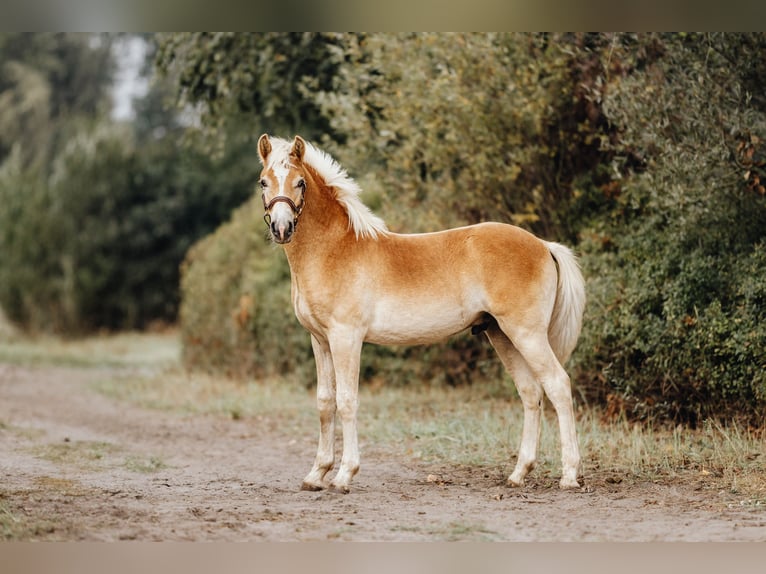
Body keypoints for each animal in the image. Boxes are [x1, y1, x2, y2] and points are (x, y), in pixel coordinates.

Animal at [258, 135, 588, 496]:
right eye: (264, 182)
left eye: (300, 182)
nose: (282, 228)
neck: (335, 250)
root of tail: (544, 245)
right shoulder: (320, 340)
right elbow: (324, 402)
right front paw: (316, 474)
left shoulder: (346, 337)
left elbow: (346, 401)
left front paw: (344, 475)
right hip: (502, 334)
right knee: (531, 393)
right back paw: (518, 474)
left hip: (527, 333)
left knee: (558, 386)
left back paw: (569, 476)